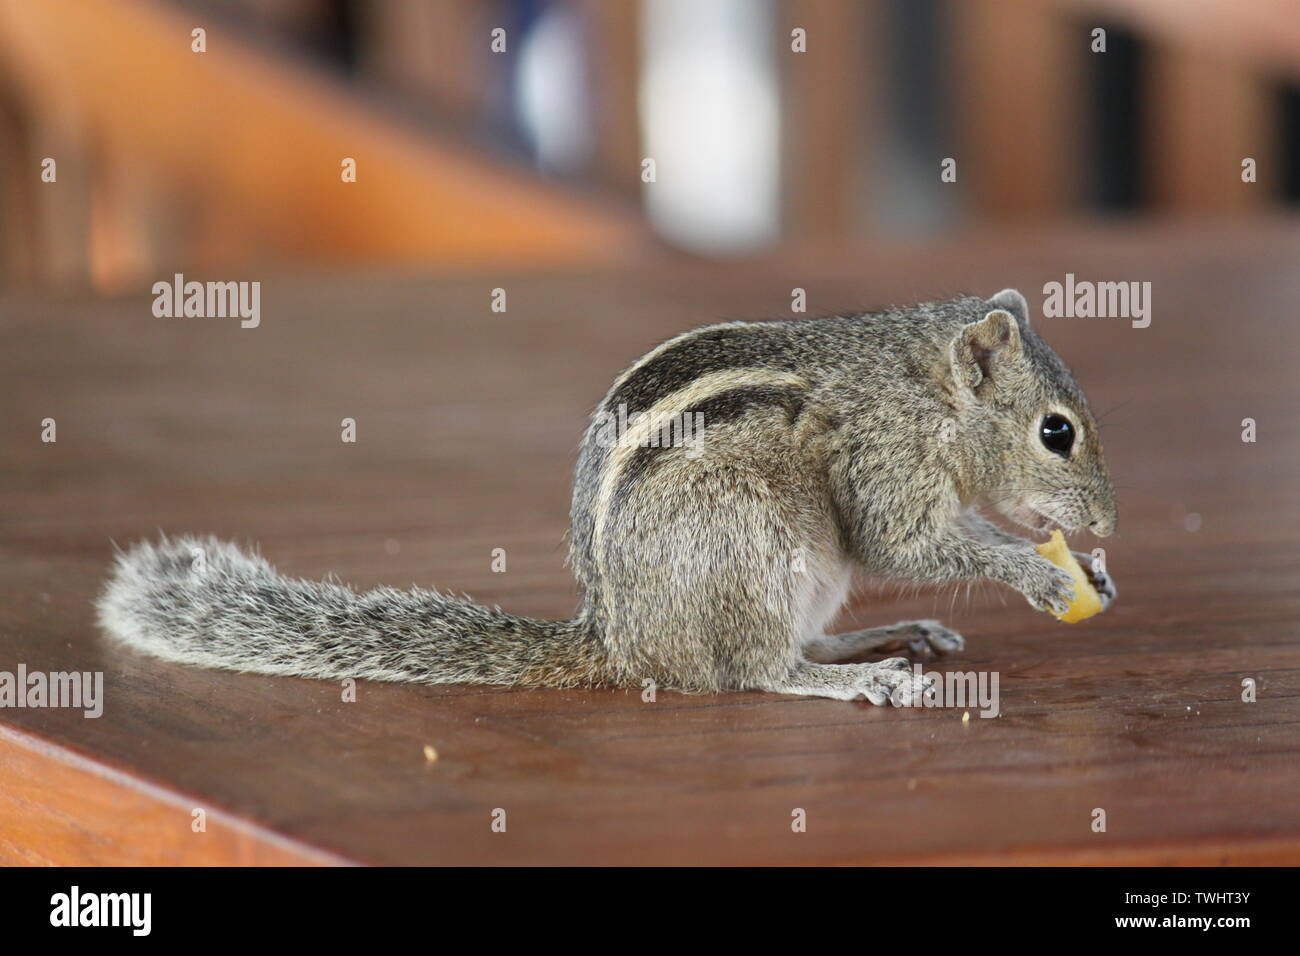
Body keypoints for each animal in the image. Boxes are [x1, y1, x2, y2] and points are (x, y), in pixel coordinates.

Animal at [98, 287, 1118, 707]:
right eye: (1056, 433)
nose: (1108, 520)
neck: (925, 390)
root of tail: (622, 640)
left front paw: (1090, 570)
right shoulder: (885, 460)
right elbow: (908, 545)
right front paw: (1039, 573)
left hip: (802, 575)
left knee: (792, 642)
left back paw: (882, 638)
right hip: (744, 542)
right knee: (757, 670)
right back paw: (852, 679)